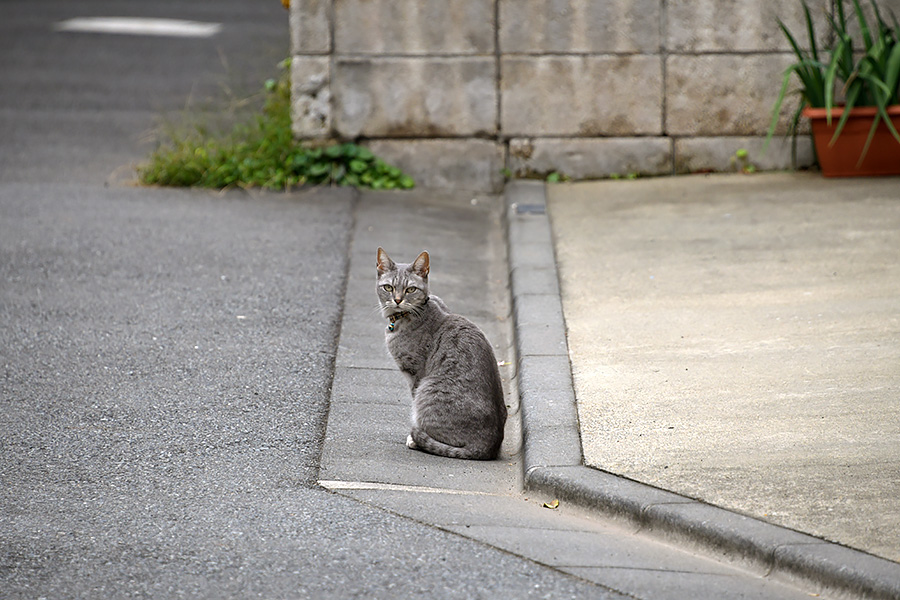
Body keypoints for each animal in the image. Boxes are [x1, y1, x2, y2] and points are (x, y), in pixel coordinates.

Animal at [374, 247, 506, 460]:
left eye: (410, 289)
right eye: (388, 287)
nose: (398, 299)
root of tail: (489, 445)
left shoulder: (415, 373)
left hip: (427, 388)